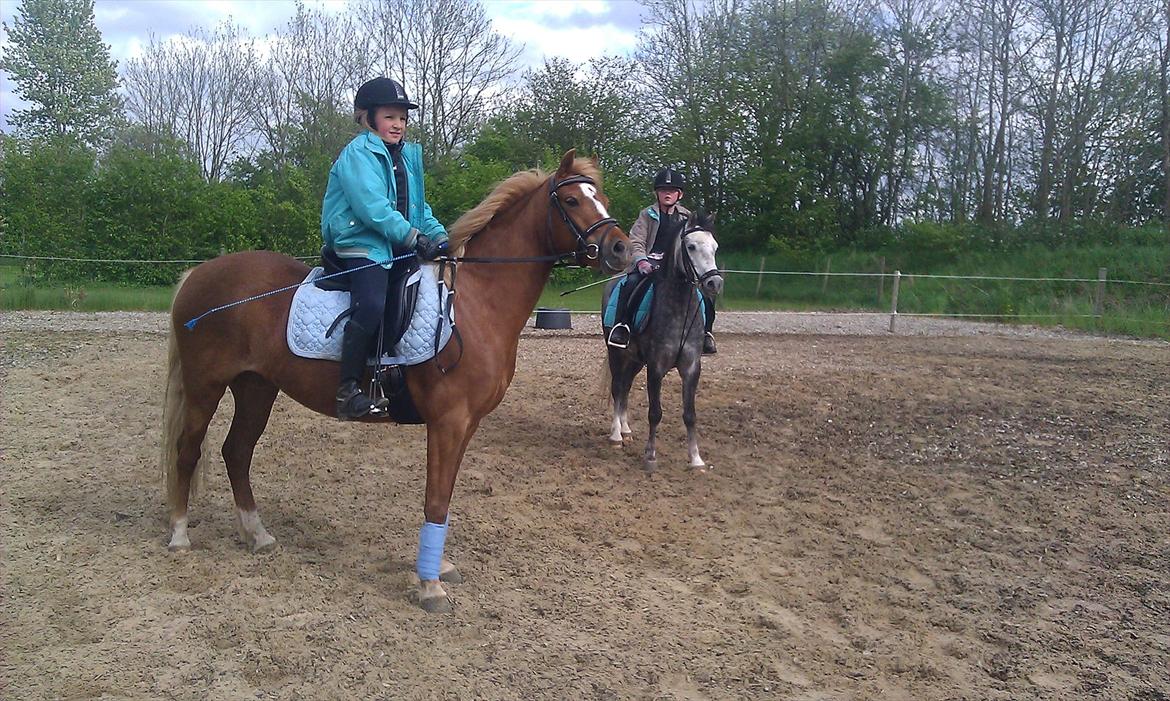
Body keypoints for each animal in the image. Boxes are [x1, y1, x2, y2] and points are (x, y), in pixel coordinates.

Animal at [160, 150, 631, 612]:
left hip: (256, 387)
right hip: (206, 387)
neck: (476, 302)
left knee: (237, 452)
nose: (621, 248)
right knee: (188, 450)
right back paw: (180, 534)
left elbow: (445, 496)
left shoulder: (467, 424)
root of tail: (199, 274)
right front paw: (429, 586)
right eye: (571, 201)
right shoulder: (448, 421)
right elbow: (436, 498)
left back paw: (257, 535)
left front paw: (437, 567)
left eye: (600, 197)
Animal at [600, 213, 723, 472]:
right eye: (691, 246)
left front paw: (696, 459)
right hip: (616, 353)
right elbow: (655, 412)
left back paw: (626, 431)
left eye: (715, 247)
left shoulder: (691, 367)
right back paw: (616, 436)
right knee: (617, 387)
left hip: (635, 360)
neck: (678, 309)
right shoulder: (656, 367)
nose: (714, 283)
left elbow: (690, 414)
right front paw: (650, 457)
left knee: (625, 387)